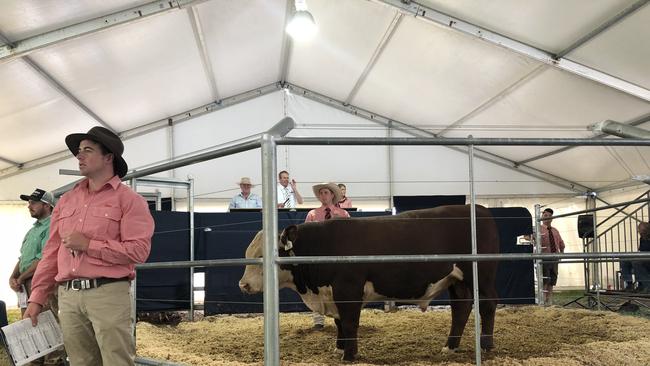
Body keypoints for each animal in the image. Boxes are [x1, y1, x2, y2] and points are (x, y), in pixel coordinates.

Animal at [238, 204, 496, 362]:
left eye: (261, 256)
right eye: (247, 253)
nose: (243, 285)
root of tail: (478, 209)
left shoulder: (348, 288)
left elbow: (349, 322)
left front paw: (349, 355)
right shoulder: (333, 293)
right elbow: (340, 322)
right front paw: (339, 348)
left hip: (482, 275)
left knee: (487, 304)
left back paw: (486, 345)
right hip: (457, 280)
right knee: (461, 308)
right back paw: (450, 347)